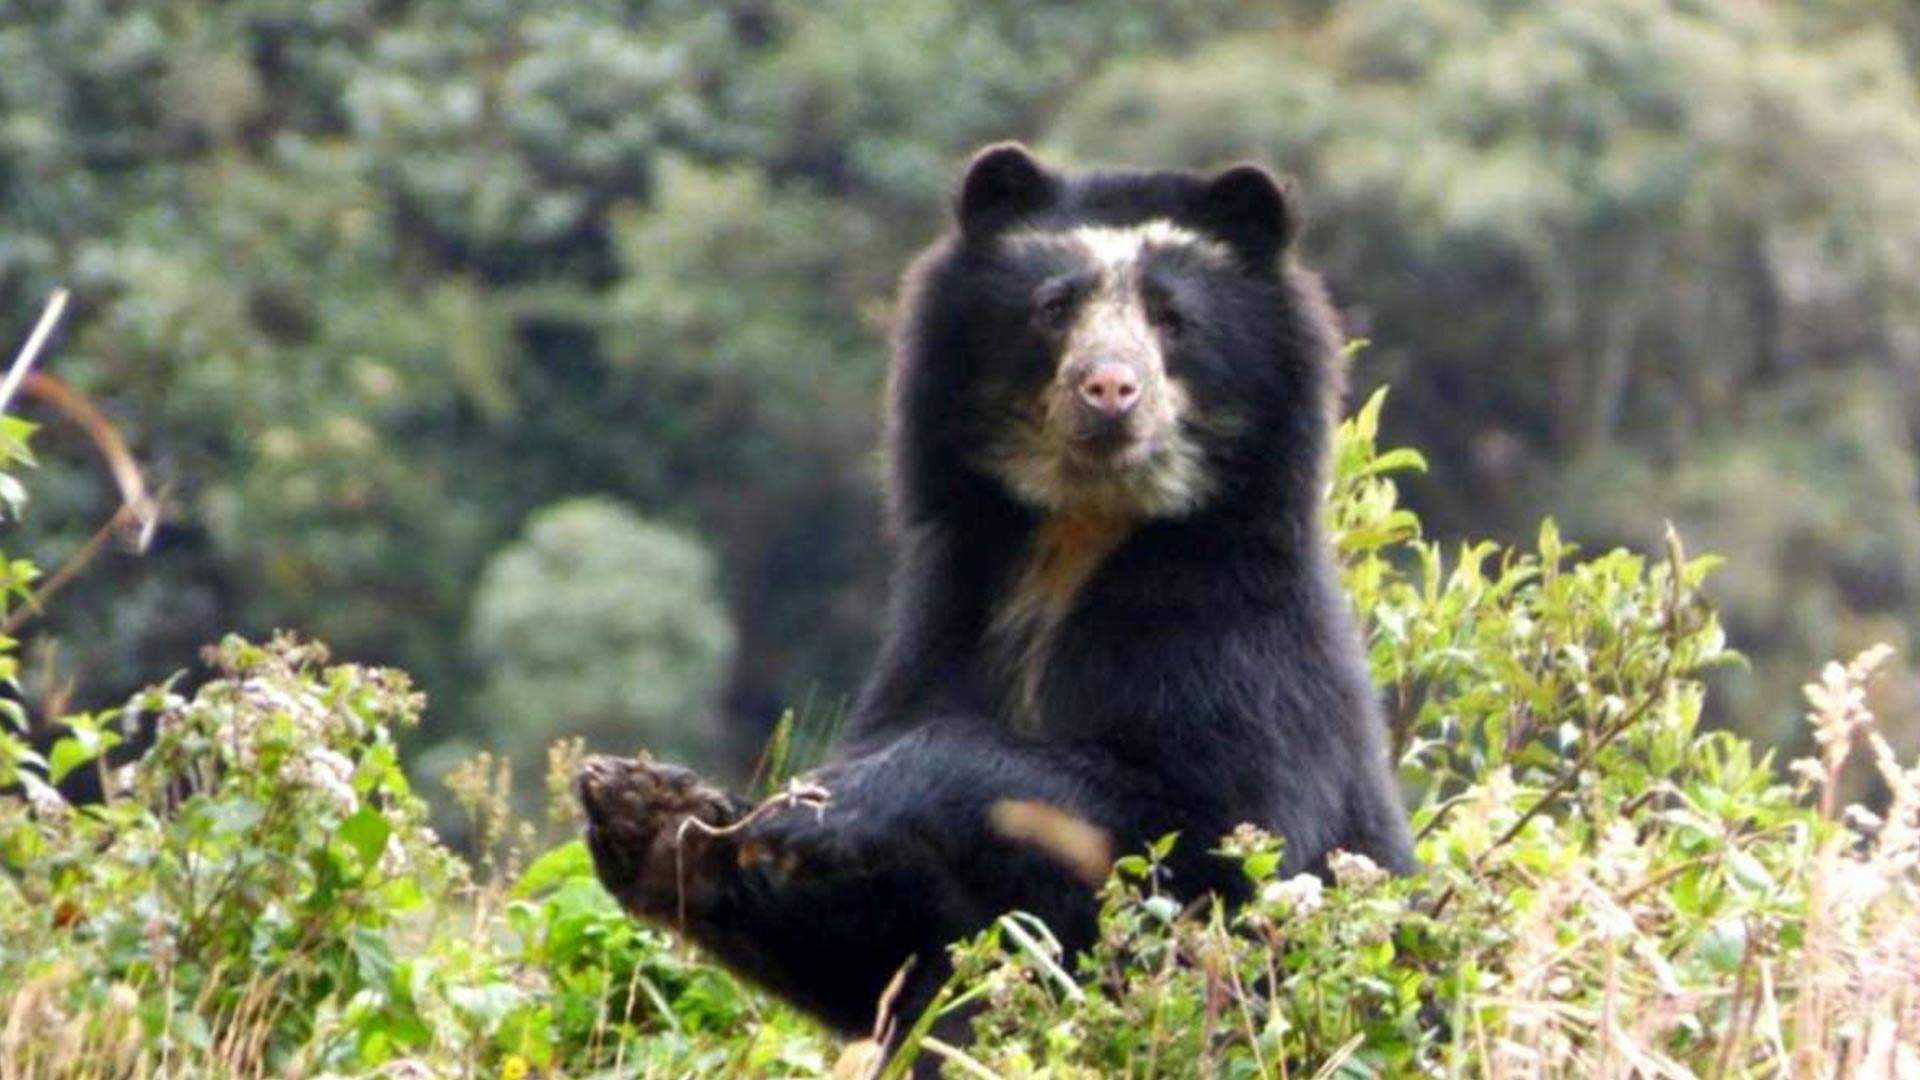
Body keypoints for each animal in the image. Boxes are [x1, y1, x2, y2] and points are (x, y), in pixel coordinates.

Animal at [568, 143, 1413, 1053]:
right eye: (1054, 307)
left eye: (1173, 319)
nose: (1109, 390)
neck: (1083, 529)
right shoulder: (948, 620)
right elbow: (880, 950)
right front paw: (657, 814)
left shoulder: (1241, 646)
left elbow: (1218, 848)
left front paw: (832, 802)